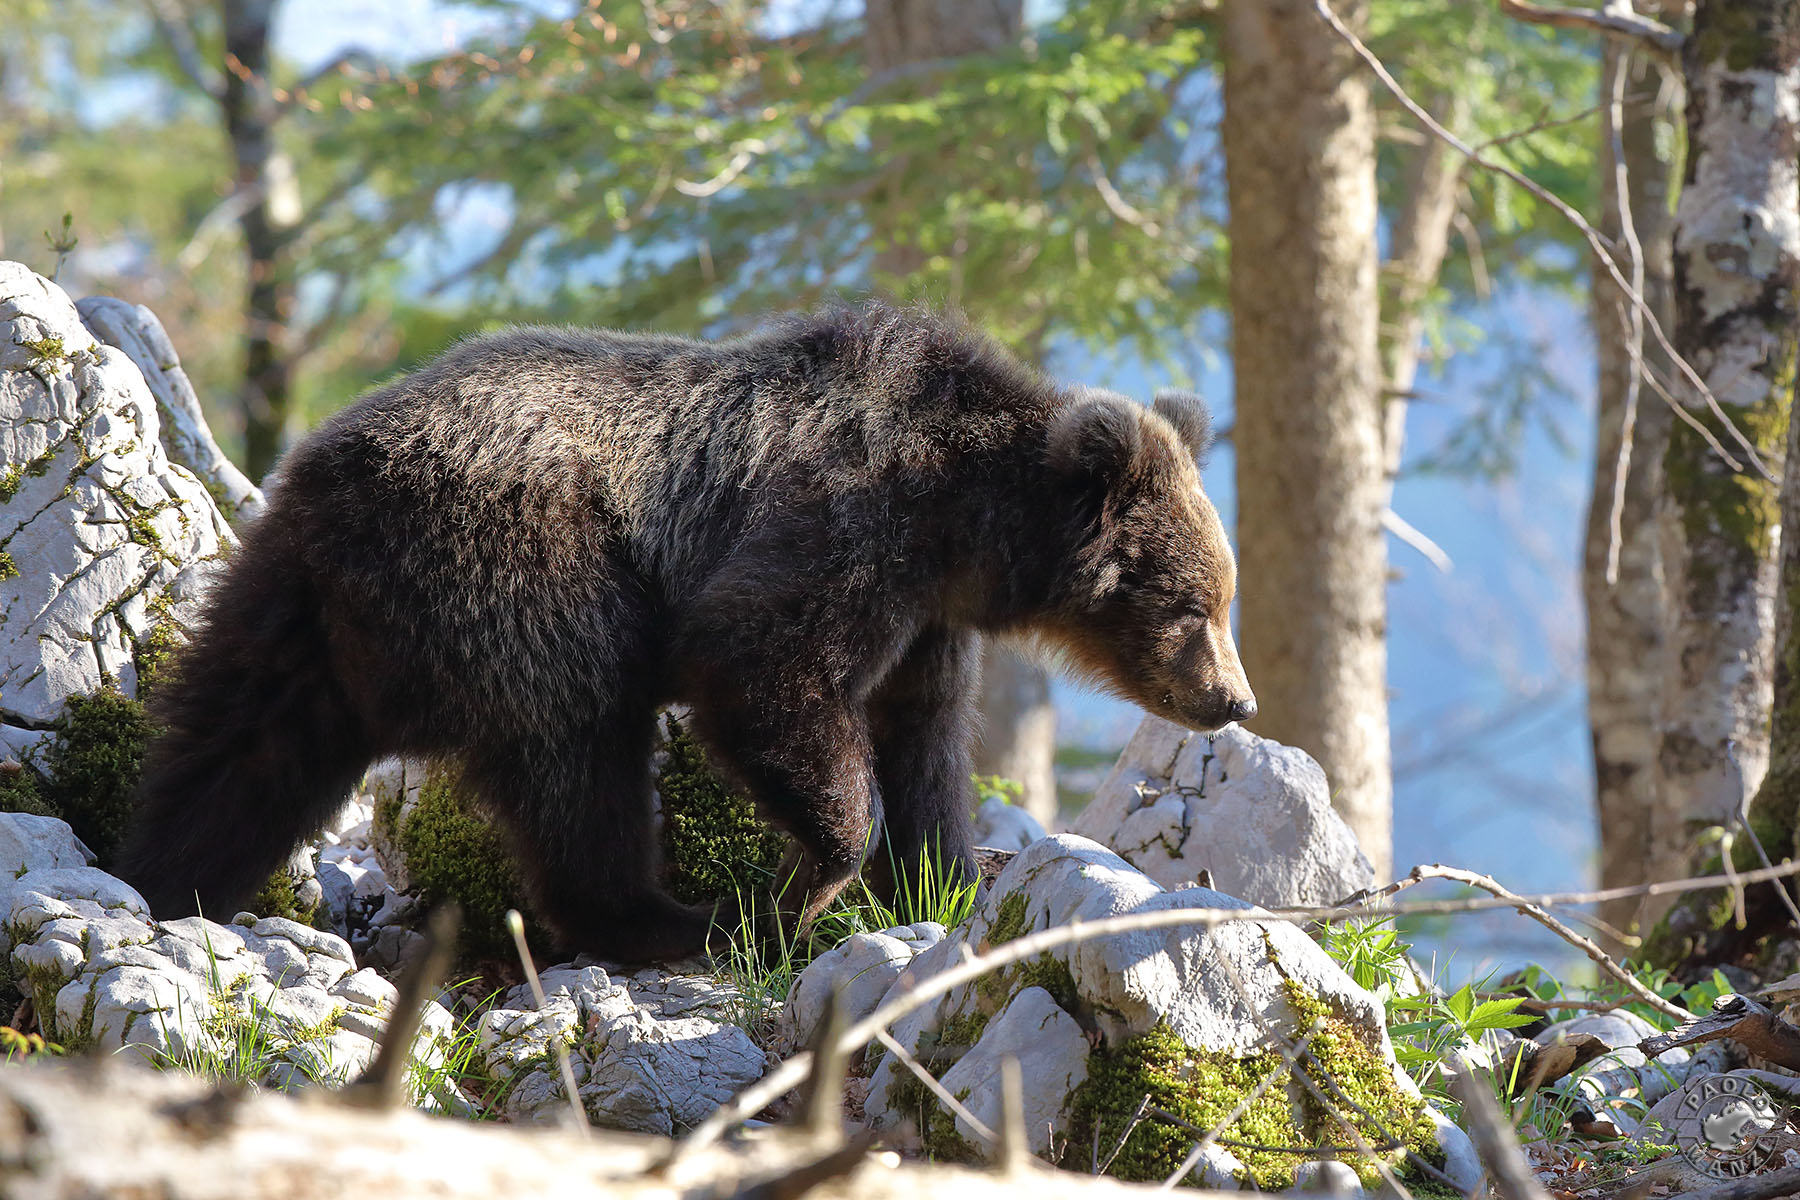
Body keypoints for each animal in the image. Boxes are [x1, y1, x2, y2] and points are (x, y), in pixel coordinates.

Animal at [117, 303, 1255, 963]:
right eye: (1194, 606)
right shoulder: (843, 529)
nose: (1233, 700)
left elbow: (926, 737)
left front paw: (946, 880)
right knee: (578, 749)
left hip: (292, 598)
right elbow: (759, 662)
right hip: (529, 564)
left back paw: (167, 871)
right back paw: (665, 919)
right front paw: (809, 885)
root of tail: (334, 477)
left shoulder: (927, 619)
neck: (964, 523)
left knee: (243, 743)